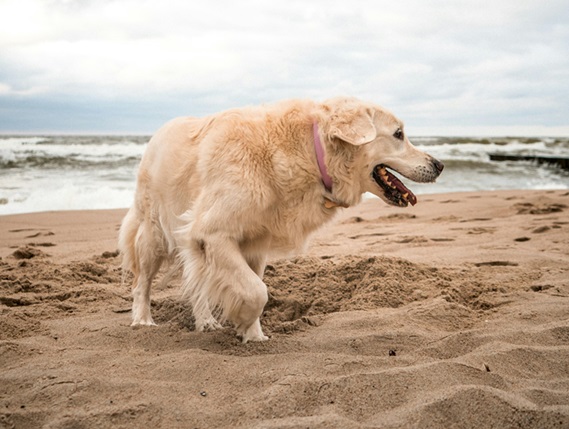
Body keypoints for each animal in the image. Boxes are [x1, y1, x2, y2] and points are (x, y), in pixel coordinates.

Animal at [116, 96, 444, 342]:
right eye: (398, 134)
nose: (439, 165)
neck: (310, 151)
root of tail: (159, 132)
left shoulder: (254, 244)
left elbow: (254, 286)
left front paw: (253, 335)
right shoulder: (211, 233)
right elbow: (257, 292)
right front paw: (243, 320)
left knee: (196, 279)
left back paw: (205, 321)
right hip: (154, 233)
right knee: (142, 282)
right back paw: (143, 319)